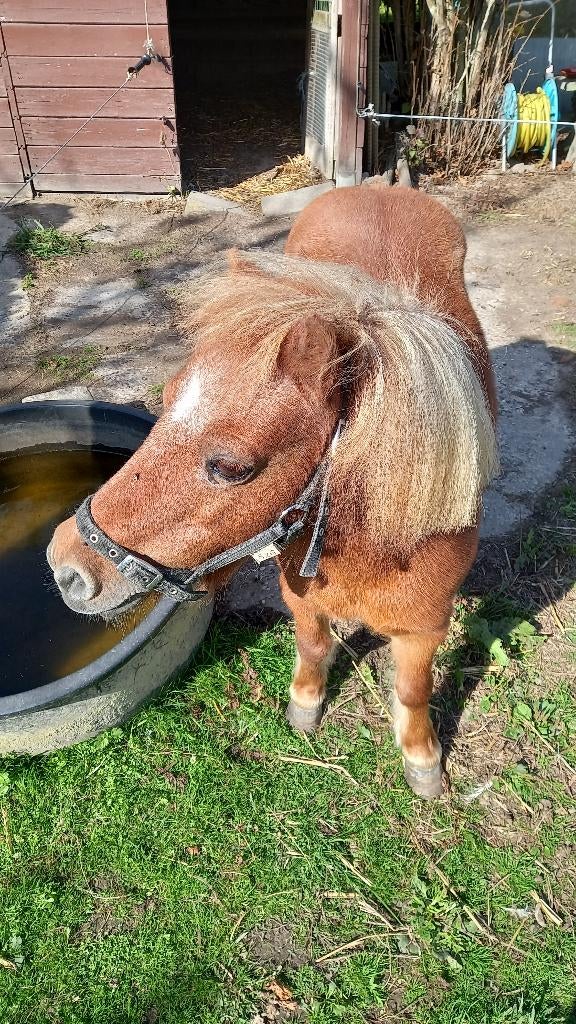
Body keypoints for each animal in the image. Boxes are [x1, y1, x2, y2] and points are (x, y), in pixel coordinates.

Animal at [47, 185, 497, 799]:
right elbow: (313, 646)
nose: (65, 566)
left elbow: (412, 690)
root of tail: (379, 186)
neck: (379, 542)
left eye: (230, 467)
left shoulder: (425, 627)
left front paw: (423, 761)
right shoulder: (300, 597)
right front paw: (305, 707)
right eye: (163, 403)